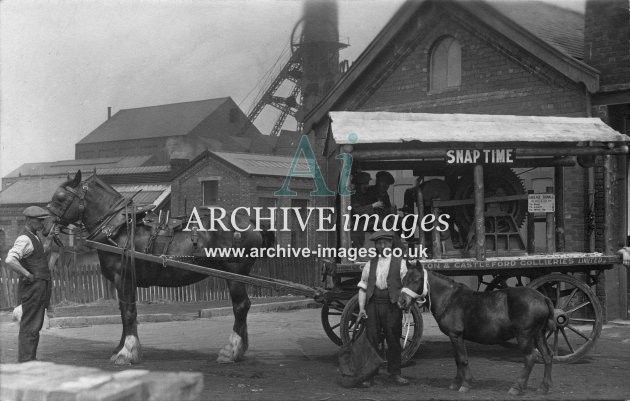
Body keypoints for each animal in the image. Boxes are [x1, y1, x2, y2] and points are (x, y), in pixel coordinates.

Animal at [48, 170, 276, 364]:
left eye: (60, 198)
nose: (46, 227)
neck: (118, 228)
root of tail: (251, 221)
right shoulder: (124, 281)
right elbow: (124, 311)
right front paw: (120, 348)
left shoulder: (124, 278)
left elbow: (129, 312)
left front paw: (126, 352)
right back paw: (240, 350)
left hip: (234, 273)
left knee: (241, 306)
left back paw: (231, 350)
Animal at [400, 266, 552, 394]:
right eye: (403, 279)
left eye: (416, 280)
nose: (402, 301)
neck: (449, 299)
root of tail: (543, 297)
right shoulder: (455, 337)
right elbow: (457, 359)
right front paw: (456, 382)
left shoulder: (455, 335)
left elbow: (462, 359)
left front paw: (465, 384)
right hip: (539, 334)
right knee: (547, 356)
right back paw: (544, 387)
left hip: (524, 335)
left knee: (530, 357)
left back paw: (517, 387)